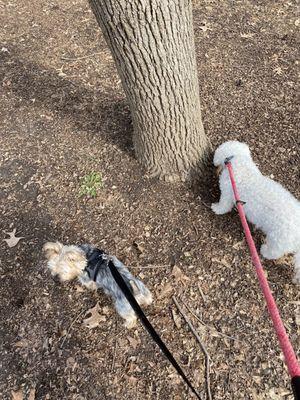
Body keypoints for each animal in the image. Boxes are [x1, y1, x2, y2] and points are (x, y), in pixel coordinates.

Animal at [211, 141, 300, 284]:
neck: (238, 161)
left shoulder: (227, 193)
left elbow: (224, 205)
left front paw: (216, 208)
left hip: (278, 240)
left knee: (274, 252)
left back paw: (264, 251)